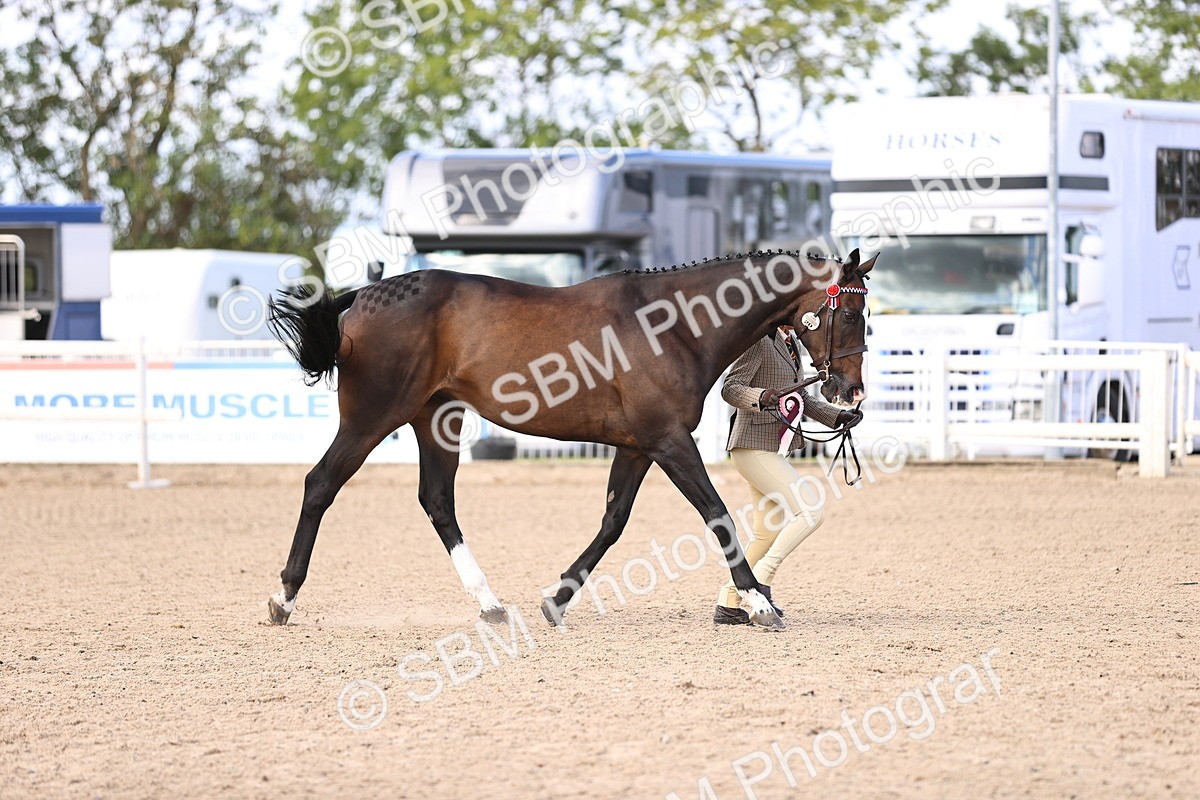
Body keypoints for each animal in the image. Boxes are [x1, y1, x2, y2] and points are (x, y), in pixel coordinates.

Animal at [265, 248, 876, 631]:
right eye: (848, 313)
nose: (849, 392)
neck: (676, 325)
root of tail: (366, 294)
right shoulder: (669, 441)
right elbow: (718, 515)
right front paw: (757, 603)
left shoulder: (638, 446)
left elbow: (612, 522)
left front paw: (556, 599)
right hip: (372, 417)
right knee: (321, 483)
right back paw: (282, 598)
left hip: (436, 419)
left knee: (437, 500)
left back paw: (491, 605)